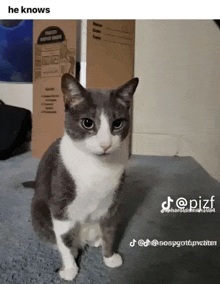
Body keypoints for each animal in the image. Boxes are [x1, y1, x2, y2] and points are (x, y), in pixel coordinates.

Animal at [31, 74, 138, 282]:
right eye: (87, 123)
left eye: (117, 123)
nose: (105, 144)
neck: (97, 166)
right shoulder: (61, 201)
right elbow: (64, 237)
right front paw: (70, 269)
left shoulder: (112, 203)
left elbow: (109, 231)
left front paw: (110, 257)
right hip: (39, 211)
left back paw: (95, 241)